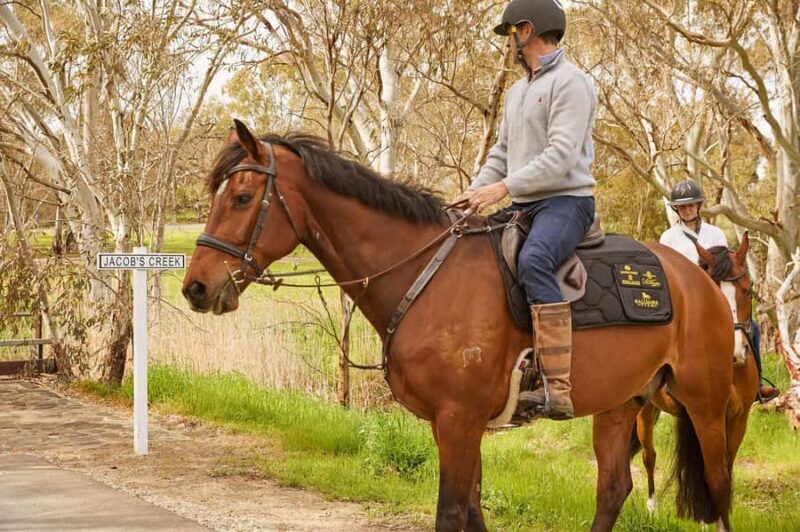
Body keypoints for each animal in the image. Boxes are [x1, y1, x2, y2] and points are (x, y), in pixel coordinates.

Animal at [182, 120, 737, 531]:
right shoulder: (450, 425)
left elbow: (450, 513)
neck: (425, 273)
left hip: (705, 405)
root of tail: (699, 277)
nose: (196, 288)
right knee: (614, 489)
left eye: (242, 197)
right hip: (620, 405)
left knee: (719, 488)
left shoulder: (458, 421)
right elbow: (471, 510)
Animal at [634, 234, 760, 516]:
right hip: (644, 410)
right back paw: (651, 506)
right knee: (649, 455)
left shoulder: (739, 419)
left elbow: (726, 466)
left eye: (748, 289)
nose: (736, 352)